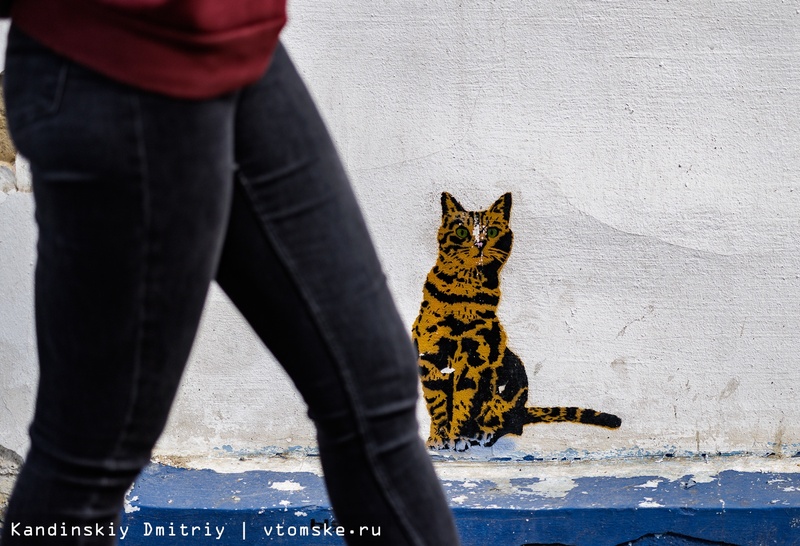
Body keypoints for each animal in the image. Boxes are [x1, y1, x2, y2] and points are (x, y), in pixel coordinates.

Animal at [410, 193, 620, 448]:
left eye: (491, 231)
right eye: (461, 232)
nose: (479, 244)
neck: (463, 293)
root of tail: (523, 410)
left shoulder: (475, 357)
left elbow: (464, 401)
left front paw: (458, 437)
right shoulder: (430, 354)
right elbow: (438, 403)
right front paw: (438, 438)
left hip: (512, 384)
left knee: (507, 421)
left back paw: (483, 432)